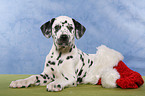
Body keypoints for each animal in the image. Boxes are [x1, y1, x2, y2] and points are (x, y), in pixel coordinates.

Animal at [9, 15, 144, 91]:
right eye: (56, 27)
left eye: (70, 27)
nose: (64, 37)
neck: (59, 56)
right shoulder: (46, 75)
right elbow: (33, 77)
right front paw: (20, 81)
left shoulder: (70, 77)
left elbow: (61, 79)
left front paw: (55, 84)